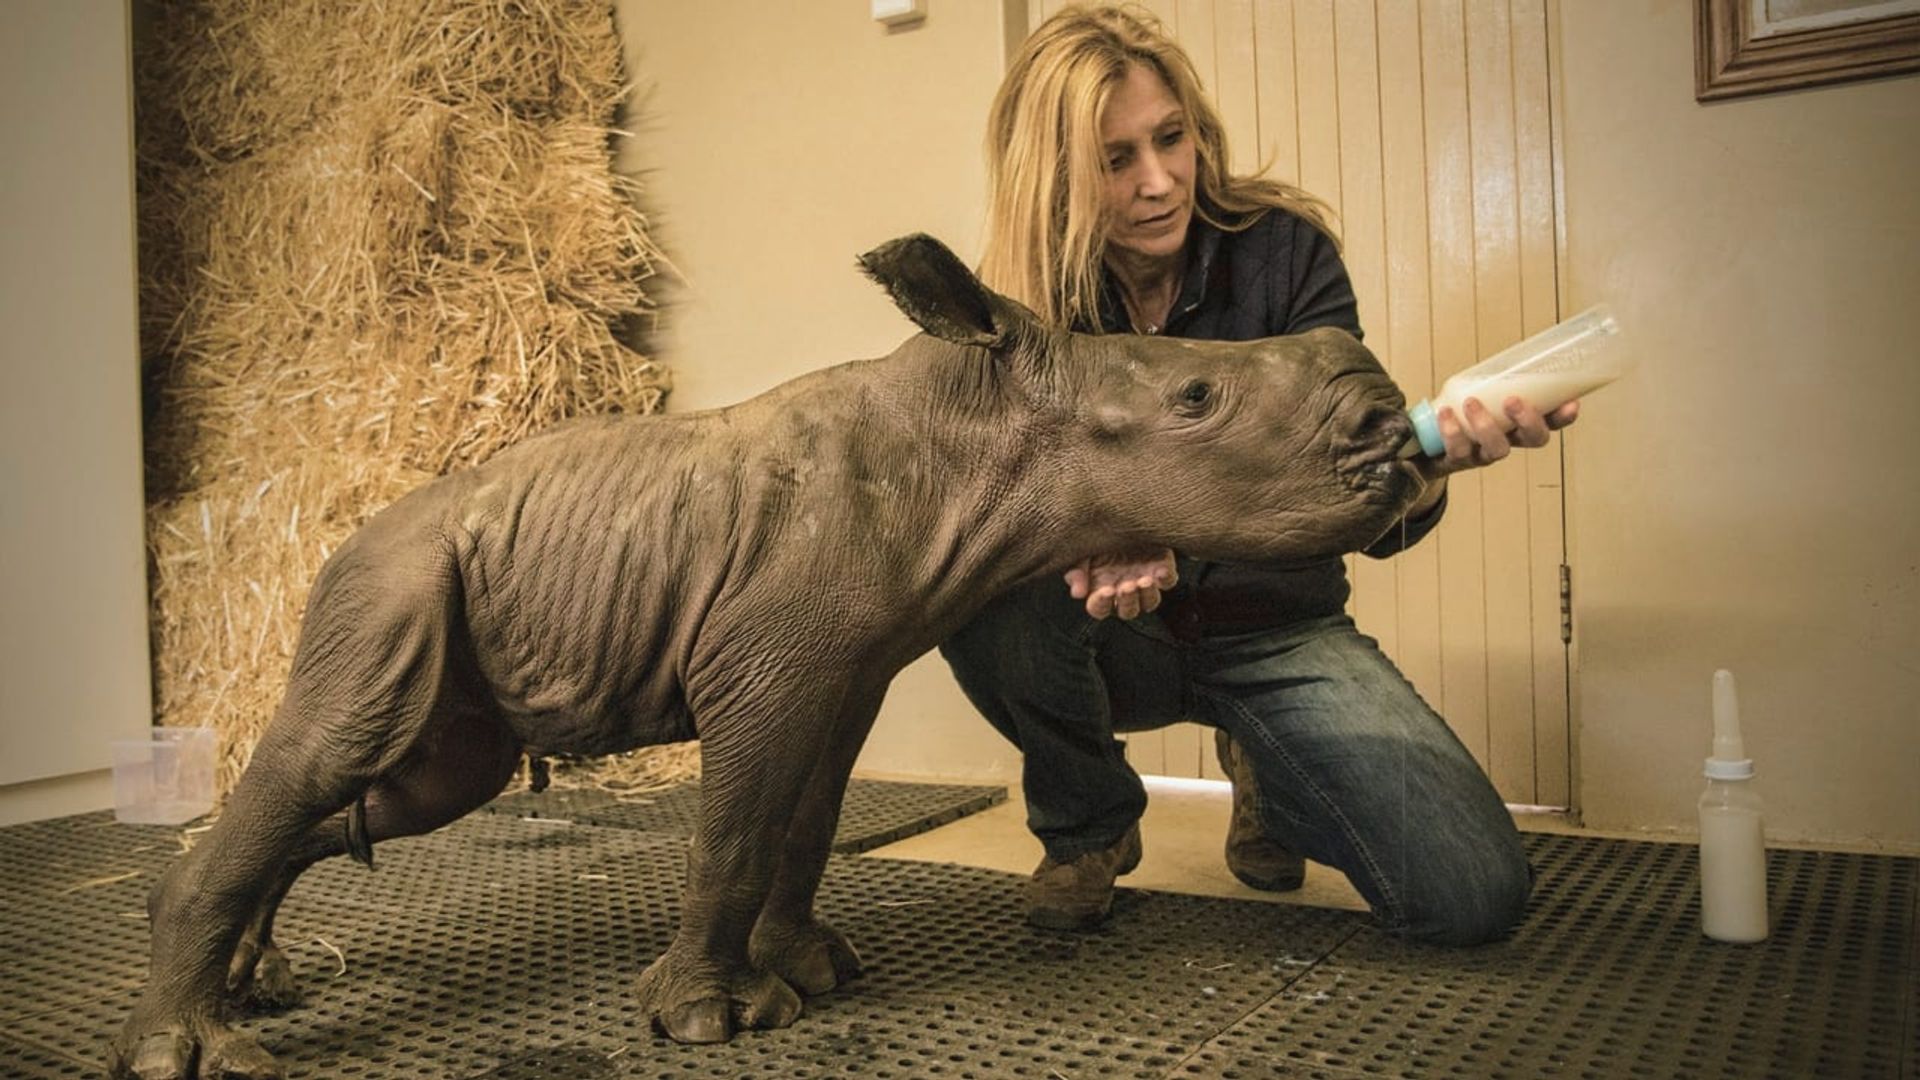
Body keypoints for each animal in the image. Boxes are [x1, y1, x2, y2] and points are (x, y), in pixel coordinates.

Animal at [109, 233, 1425, 1079]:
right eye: (1197, 398)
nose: (1388, 430)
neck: (976, 430)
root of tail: (342, 535)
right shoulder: (768, 667)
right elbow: (736, 832)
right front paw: (705, 1023)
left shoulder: (844, 668)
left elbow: (805, 822)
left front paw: (812, 973)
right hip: (389, 580)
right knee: (340, 750)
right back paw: (192, 1048)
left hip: (441, 603)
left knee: (409, 787)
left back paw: (252, 978)